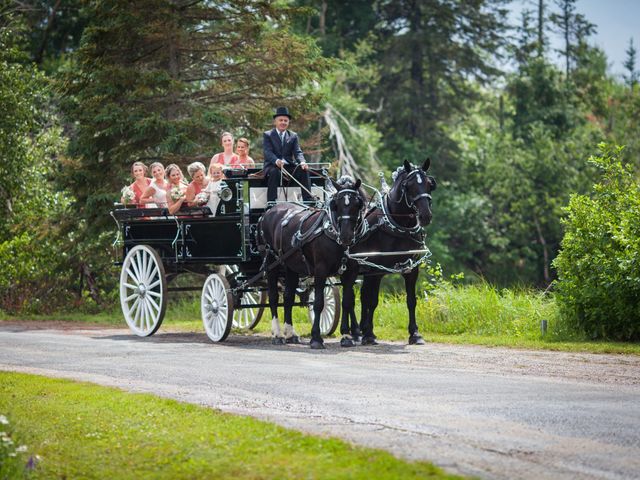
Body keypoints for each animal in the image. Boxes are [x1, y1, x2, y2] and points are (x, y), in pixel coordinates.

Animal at [256, 176, 364, 348]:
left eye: (357, 203)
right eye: (337, 204)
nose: (346, 236)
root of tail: (267, 213)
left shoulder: (350, 272)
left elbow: (347, 302)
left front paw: (347, 336)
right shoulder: (321, 270)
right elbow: (318, 303)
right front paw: (316, 338)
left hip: (290, 266)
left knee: (288, 297)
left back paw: (290, 333)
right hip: (271, 263)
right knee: (273, 297)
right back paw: (278, 334)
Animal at [344, 160, 436, 344]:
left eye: (430, 184)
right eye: (409, 186)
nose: (425, 216)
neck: (398, 225)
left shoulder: (411, 268)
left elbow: (411, 300)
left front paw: (415, 334)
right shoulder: (377, 270)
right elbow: (372, 301)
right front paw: (368, 334)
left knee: (359, 295)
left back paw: (358, 330)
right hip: (353, 268)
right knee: (350, 297)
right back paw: (356, 331)